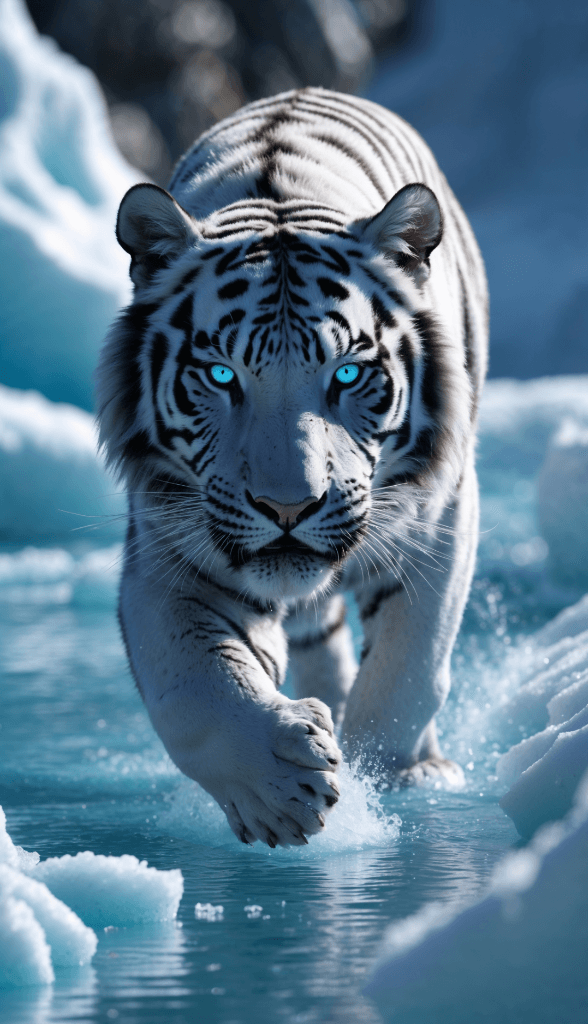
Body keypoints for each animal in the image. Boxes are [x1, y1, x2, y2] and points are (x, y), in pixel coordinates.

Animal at [97, 87, 488, 848]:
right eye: (221, 375)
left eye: (349, 374)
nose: (288, 508)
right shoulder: (166, 548)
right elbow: (191, 687)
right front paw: (281, 789)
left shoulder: (440, 516)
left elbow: (408, 667)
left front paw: (385, 783)